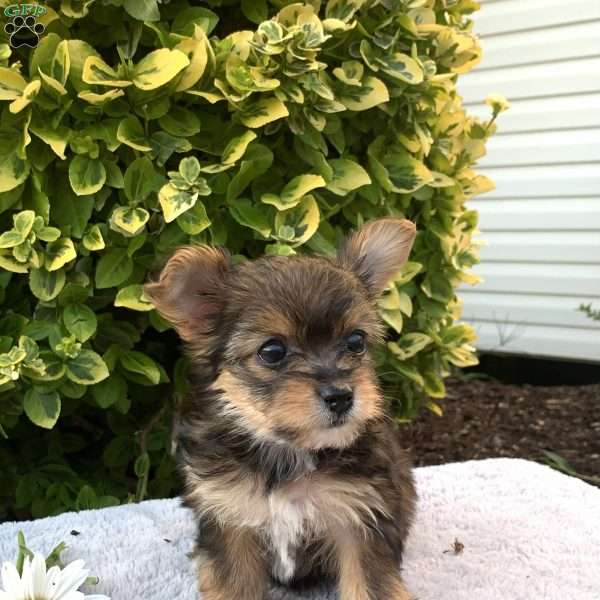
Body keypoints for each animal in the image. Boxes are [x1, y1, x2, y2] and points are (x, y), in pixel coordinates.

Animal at [145, 217, 418, 600]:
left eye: (356, 341)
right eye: (272, 351)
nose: (341, 396)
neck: (289, 453)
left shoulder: (359, 519)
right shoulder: (231, 522)